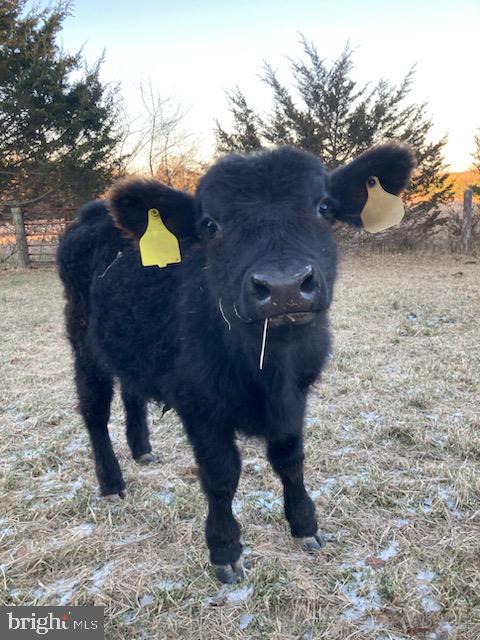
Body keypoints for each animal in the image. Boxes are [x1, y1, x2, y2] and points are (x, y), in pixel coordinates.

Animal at [57, 144, 415, 583]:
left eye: (324, 207)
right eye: (211, 225)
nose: (284, 287)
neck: (271, 370)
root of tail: (93, 212)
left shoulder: (297, 397)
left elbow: (291, 460)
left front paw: (304, 525)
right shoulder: (199, 405)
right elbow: (221, 475)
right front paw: (225, 548)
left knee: (132, 391)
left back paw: (142, 450)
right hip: (82, 342)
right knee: (94, 411)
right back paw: (110, 482)